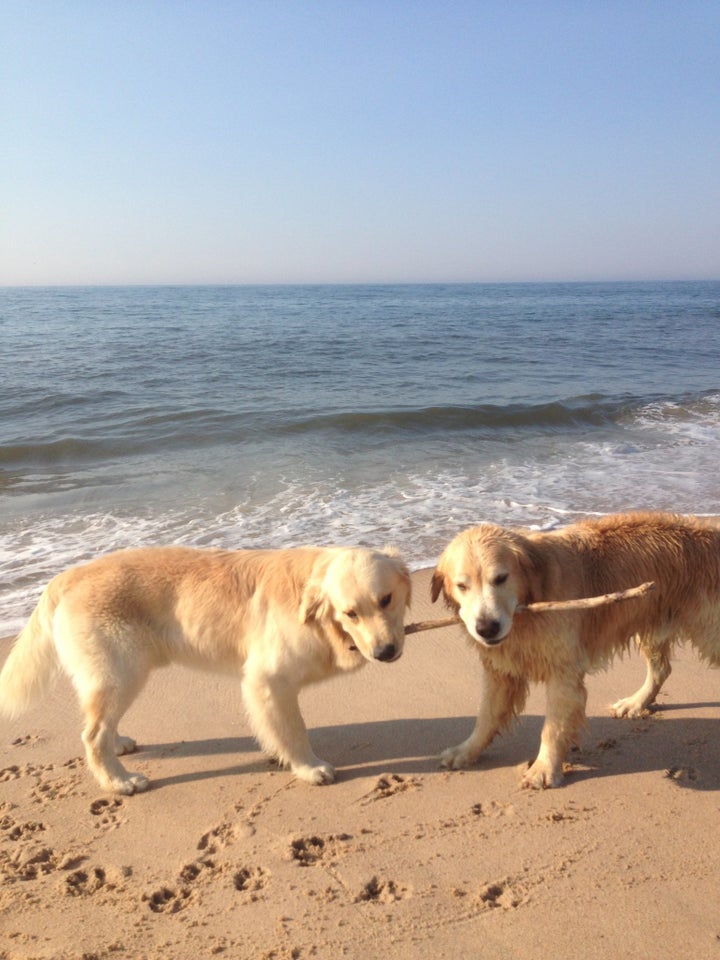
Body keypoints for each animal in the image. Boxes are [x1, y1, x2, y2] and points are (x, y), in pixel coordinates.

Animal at [0, 548, 410, 796]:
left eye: (386, 600)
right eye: (350, 613)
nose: (385, 652)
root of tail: (67, 575)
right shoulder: (268, 680)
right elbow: (294, 731)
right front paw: (308, 768)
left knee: (101, 724)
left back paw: (119, 744)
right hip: (122, 673)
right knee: (91, 735)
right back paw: (119, 781)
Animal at [434, 512, 720, 792]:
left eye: (501, 578)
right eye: (462, 586)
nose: (487, 628)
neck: (531, 603)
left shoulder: (563, 673)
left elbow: (552, 728)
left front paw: (543, 769)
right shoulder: (500, 671)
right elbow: (486, 715)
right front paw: (466, 751)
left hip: (708, 631)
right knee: (661, 669)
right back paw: (635, 703)